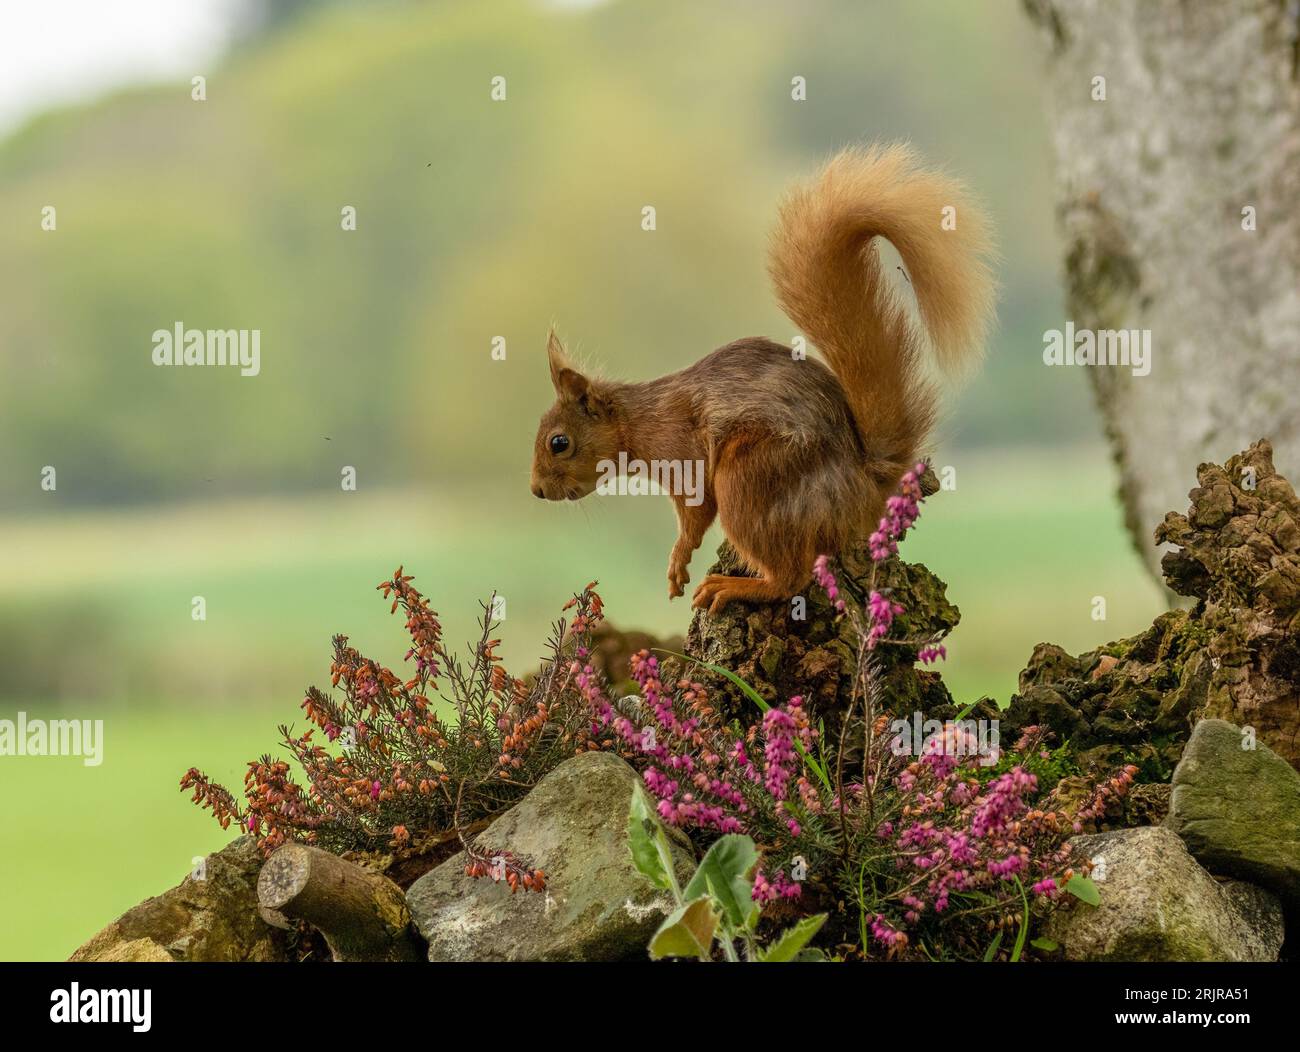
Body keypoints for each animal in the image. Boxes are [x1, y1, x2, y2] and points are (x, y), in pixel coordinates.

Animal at [527, 143, 993, 611]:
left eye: (559, 443)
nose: (536, 491)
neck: (638, 421)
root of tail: (864, 486)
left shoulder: (683, 453)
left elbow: (696, 511)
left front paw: (678, 560)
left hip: (751, 479)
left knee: (791, 577)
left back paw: (734, 586)